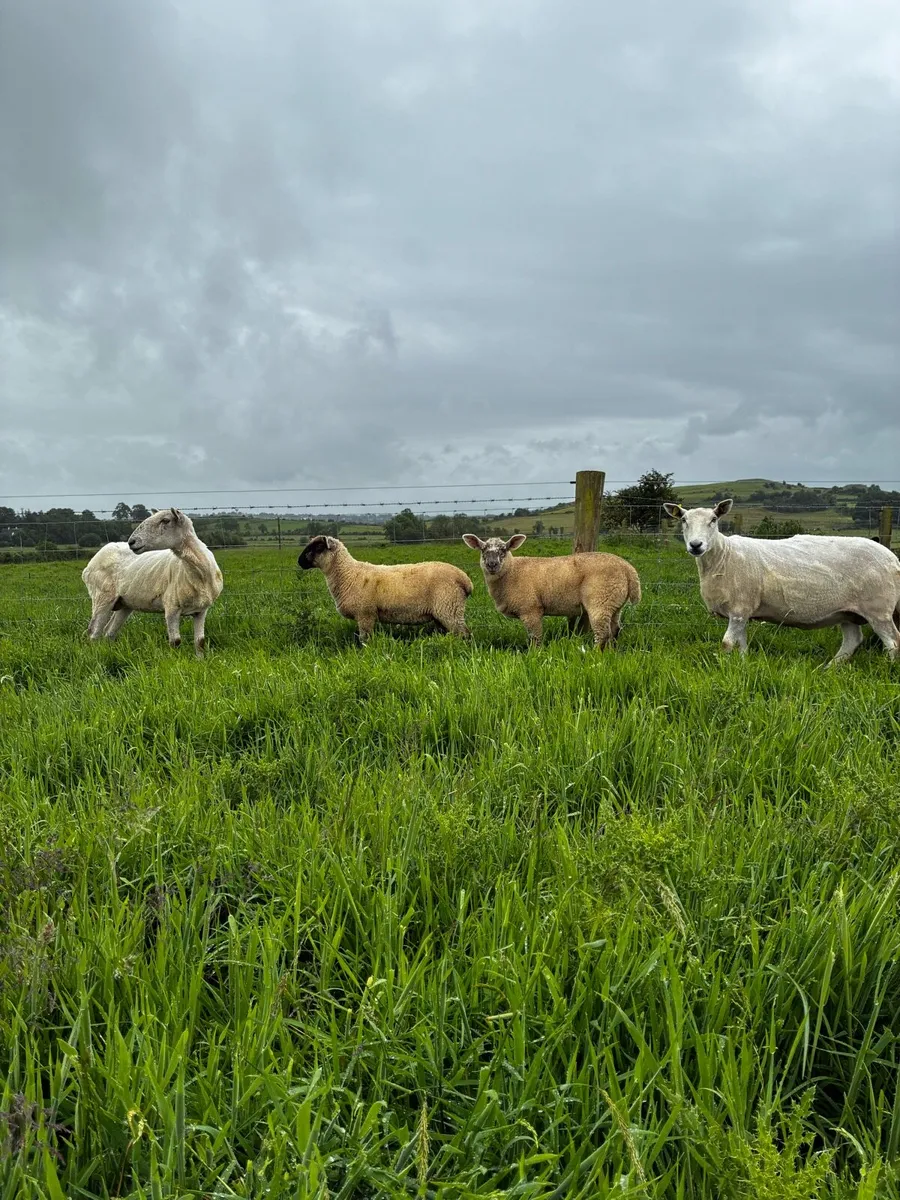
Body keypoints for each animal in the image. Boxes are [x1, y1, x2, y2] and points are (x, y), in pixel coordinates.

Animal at [82, 508, 223, 656]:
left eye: (166, 520)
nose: (131, 542)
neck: (197, 571)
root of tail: (91, 563)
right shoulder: (171, 607)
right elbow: (175, 642)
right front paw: (176, 659)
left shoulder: (201, 610)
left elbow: (200, 642)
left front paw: (200, 659)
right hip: (102, 596)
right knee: (93, 632)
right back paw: (95, 654)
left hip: (124, 603)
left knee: (109, 632)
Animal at [297, 535, 473, 643]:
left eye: (318, 547)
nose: (299, 562)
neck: (348, 574)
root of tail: (465, 579)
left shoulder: (365, 614)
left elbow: (365, 640)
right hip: (442, 613)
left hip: (449, 608)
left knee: (465, 634)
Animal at [461, 533, 641, 647]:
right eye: (482, 550)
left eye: (504, 550)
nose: (492, 564)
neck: (512, 572)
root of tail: (628, 569)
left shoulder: (531, 610)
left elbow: (535, 638)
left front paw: (534, 656)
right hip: (614, 602)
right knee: (615, 630)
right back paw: (611, 653)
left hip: (600, 600)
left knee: (603, 634)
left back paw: (595, 656)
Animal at [664, 499, 900, 663]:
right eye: (684, 521)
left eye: (713, 520)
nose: (696, 545)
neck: (723, 556)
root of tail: (893, 558)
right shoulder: (743, 611)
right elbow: (741, 645)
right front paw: (742, 665)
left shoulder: (740, 608)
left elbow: (727, 644)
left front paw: (726, 667)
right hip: (848, 612)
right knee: (852, 641)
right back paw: (829, 669)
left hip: (878, 608)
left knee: (893, 642)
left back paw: (886, 668)